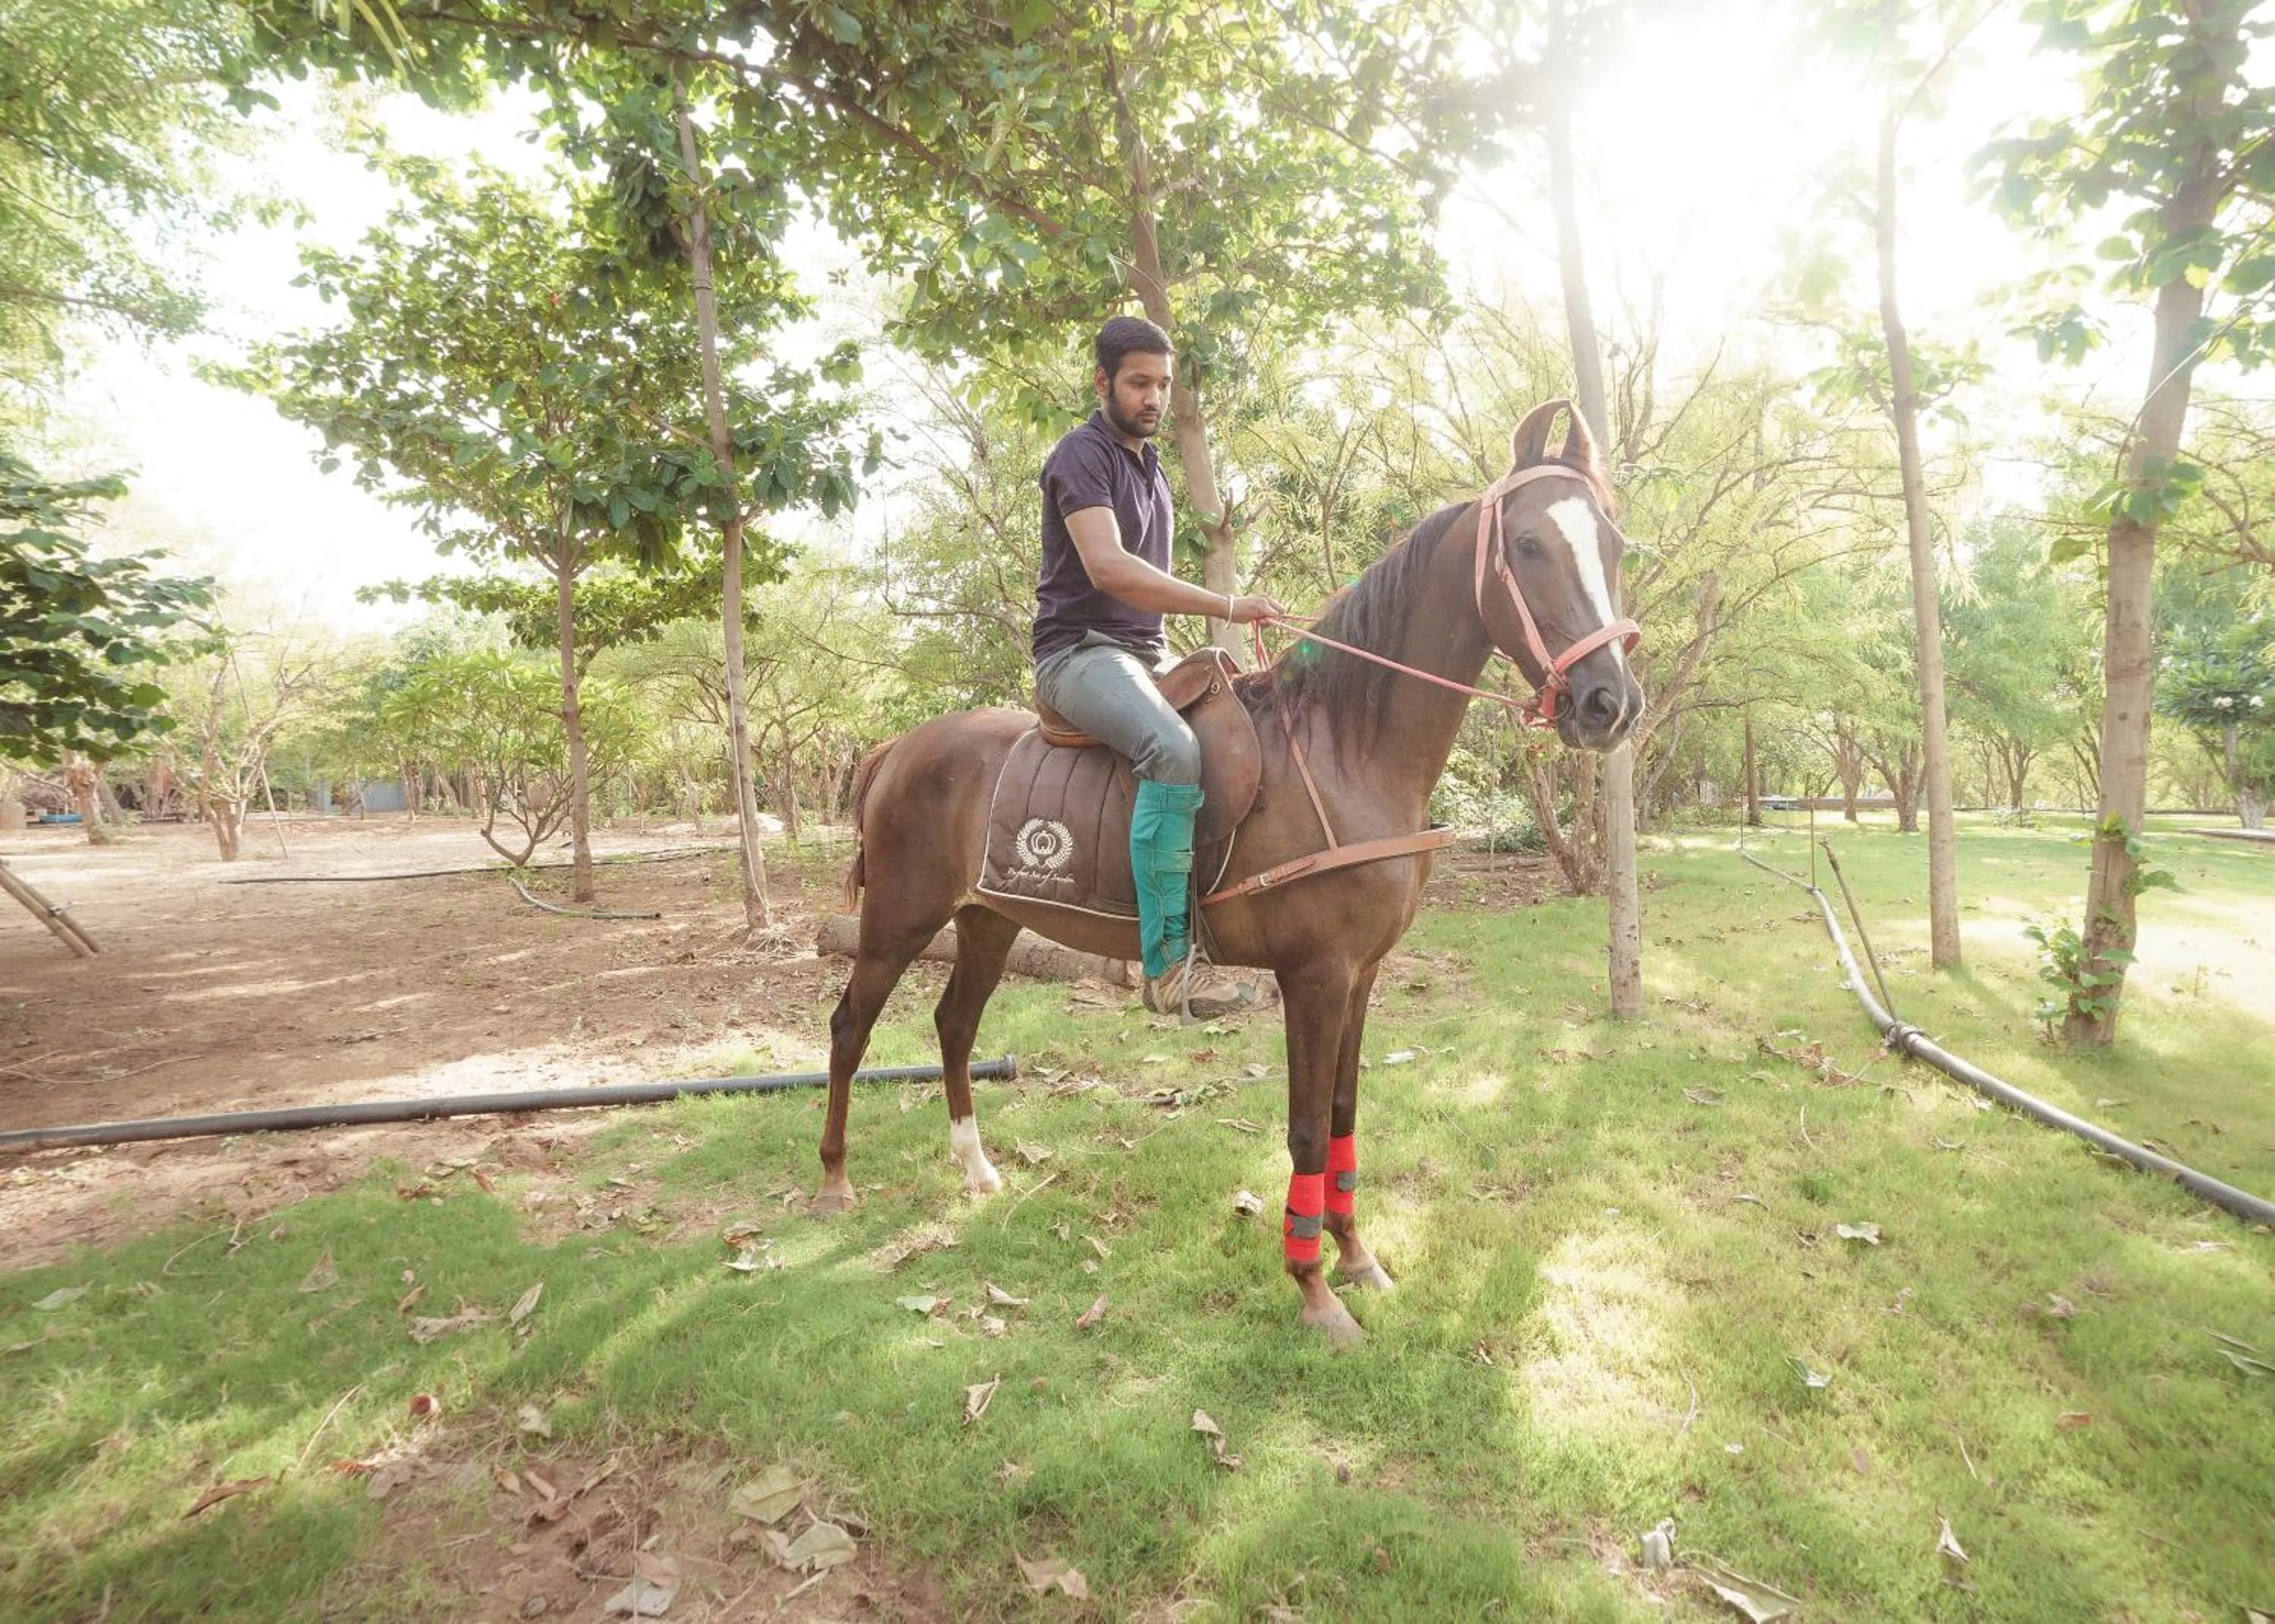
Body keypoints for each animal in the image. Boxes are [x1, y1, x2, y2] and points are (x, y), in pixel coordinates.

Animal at [820, 399, 1646, 1344]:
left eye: (1613, 544)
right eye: (1529, 545)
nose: (1611, 703)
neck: (1343, 750)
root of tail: (897, 747)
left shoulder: (1362, 975)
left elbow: (1344, 1114)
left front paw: (1357, 1257)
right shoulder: (1314, 976)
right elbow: (1306, 1132)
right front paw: (1314, 1287)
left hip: (988, 917)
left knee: (955, 1026)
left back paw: (976, 1169)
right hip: (898, 918)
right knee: (850, 1028)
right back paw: (835, 1179)